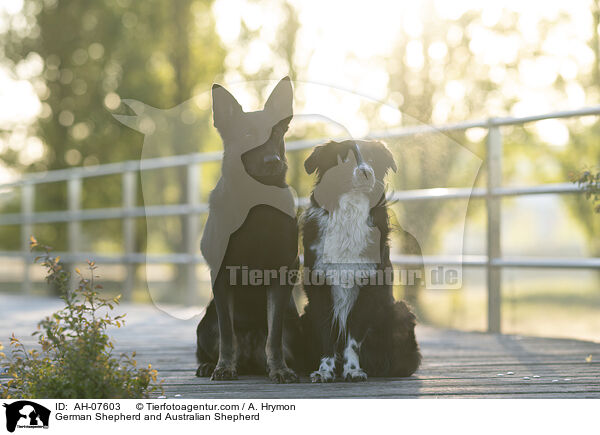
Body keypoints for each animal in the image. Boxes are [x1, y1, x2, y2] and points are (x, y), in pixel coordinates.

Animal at [196, 76, 302, 384]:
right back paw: (209, 364)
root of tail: (251, 360)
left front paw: (279, 369)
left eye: (276, 134)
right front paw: (223, 366)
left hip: (296, 329)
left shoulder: (282, 272)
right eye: (246, 136)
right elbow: (227, 332)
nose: (272, 161)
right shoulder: (221, 275)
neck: (256, 203)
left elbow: (274, 334)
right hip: (204, 325)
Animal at [300, 140, 422, 382]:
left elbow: (353, 337)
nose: (367, 172)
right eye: (345, 160)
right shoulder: (320, 287)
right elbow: (327, 332)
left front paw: (353, 370)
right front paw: (325, 370)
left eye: (372, 160)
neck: (350, 210)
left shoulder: (367, 288)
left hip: (401, 311)